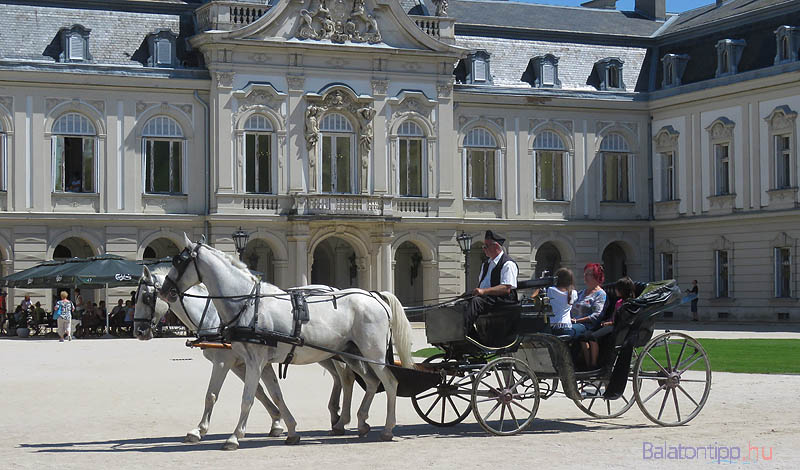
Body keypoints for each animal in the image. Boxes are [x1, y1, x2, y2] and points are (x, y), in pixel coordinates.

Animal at [134, 268, 366, 440]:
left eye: (145, 297)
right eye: (135, 296)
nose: (138, 331)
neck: (214, 315)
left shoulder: (224, 362)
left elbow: (213, 395)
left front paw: (199, 430)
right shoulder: (242, 363)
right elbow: (261, 392)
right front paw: (277, 421)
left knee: (346, 377)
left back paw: (343, 419)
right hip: (324, 355)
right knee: (340, 378)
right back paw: (336, 415)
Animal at [160, 237, 416, 450]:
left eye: (178, 260)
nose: (165, 290)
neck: (248, 304)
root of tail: (374, 296)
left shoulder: (251, 361)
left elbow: (246, 398)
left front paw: (233, 437)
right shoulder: (261, 363)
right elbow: (274, 395)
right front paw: (290, 429)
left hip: (372, 354)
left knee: (389, 383)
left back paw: (387, 428)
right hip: (352, 354)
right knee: (369, 382)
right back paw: (360, 423)